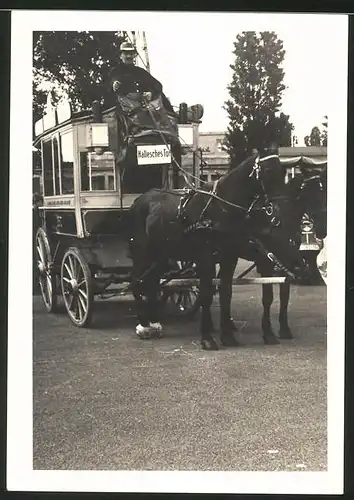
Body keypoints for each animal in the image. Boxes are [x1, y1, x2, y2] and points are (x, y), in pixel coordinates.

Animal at [128, 154, 310, 350]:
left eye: (283, 171)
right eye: (268, 171)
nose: (278, 210)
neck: (220, 209)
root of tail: (139, 200)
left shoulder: (231, 257)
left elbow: (228, 293)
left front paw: (229, 335)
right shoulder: (206, 257)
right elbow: (207, 294)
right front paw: (208, 337)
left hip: (160, 254)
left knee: (151, 282)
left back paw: (154, 322)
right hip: (142, 253)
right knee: (137, 280)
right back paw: (144, 326)